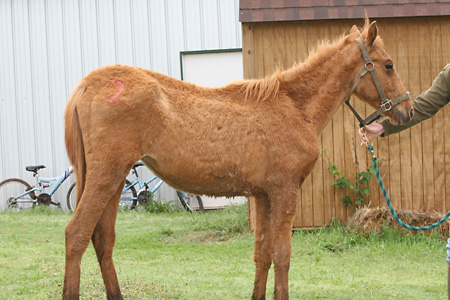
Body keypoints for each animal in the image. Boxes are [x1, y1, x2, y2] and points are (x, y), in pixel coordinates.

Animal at [64, 19, 414, 298]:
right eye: (388, 64)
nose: (407, 110)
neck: (294, 107)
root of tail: (87, 85)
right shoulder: (285, 192)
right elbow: (283, 256)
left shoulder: (262, 196)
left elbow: (263, 255)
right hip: (106, 176)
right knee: (76, 235)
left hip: (113, 181)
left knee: (103, 240)